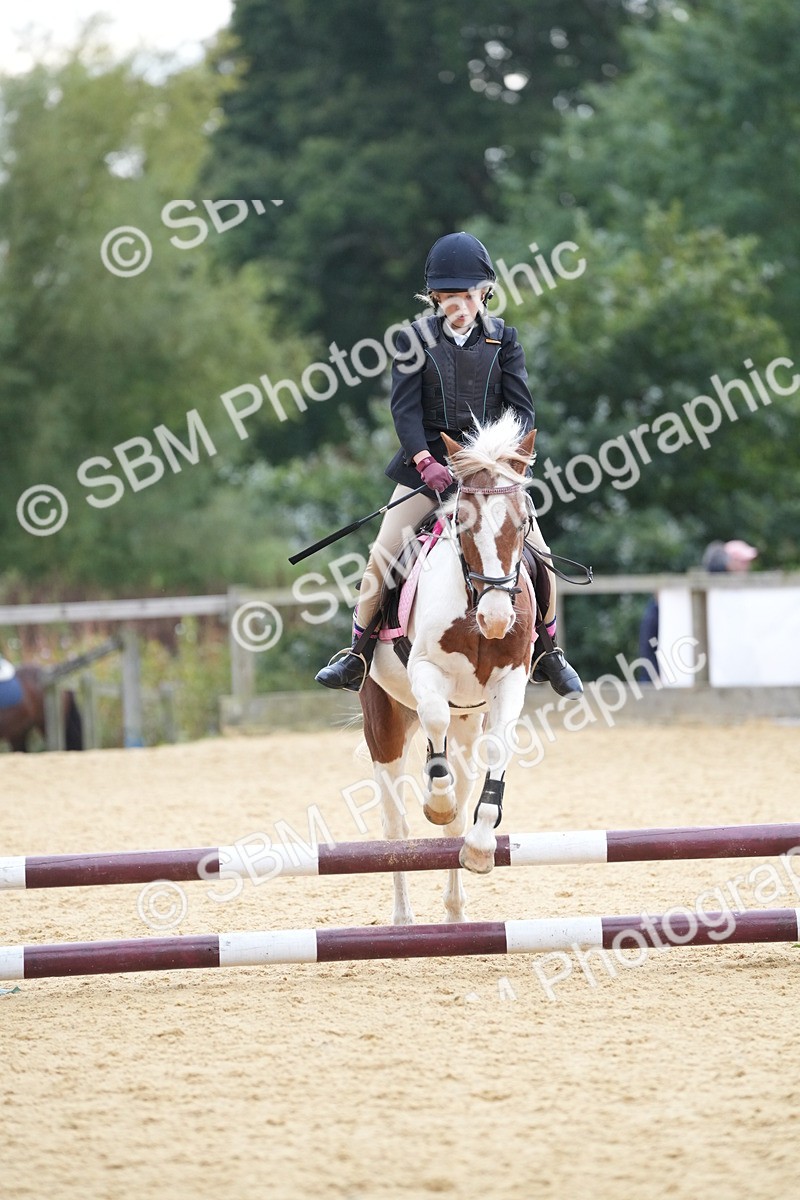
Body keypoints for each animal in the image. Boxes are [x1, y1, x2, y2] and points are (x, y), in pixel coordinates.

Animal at [360, 412, 537, 925]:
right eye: (461, 521)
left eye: (524, 521)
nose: (497, 619)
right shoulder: (425, 669)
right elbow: (434, 717)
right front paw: (435, 800)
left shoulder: (509, 684)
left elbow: (500, 749)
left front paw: (480, 846)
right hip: (384, 723)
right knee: (395, 828)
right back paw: (403, 921)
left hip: (466, 724)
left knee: (454, 811)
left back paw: (456, 914)